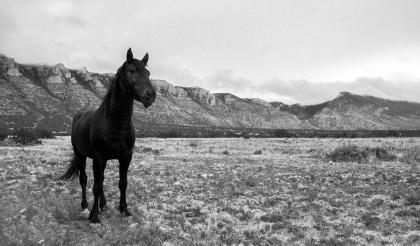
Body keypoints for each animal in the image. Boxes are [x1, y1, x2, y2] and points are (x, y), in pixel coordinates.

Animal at [60, 48, 156, 223]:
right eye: (132, 71)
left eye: (148, 73)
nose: (150, 95)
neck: (116, 125)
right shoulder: (99, 158)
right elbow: (96, 186)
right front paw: (94, 216)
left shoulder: (125, 157)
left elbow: (122, 183)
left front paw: (124, 209)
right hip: (81, 155)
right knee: (84, 180)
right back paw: (85, 205)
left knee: (101, 180)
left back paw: (103, 204)